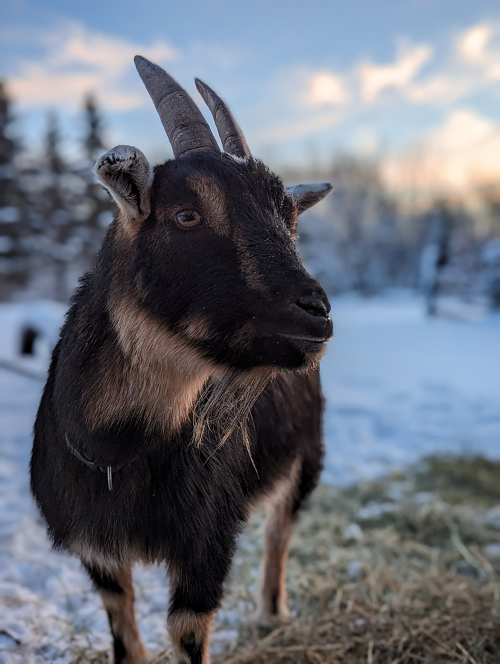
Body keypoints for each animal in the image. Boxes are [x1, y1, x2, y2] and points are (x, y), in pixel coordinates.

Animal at [30, 55, 333, 664]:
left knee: (281, 528)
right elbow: (122, 624)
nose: (316, 314)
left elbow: (189, 630)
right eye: (187, 214)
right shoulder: (96, 547)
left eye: (290, 220)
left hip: (308, 452)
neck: (118, 451)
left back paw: (273, 613)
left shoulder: (206, 541)